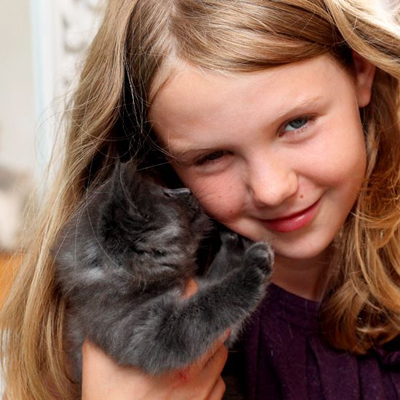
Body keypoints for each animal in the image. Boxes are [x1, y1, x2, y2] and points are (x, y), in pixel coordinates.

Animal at [53, 160, 274, 393]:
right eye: (166, 194)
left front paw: (234, 246)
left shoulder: (222, 335)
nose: (186, 190)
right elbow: (207, 308)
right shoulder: (143, 332)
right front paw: (251, 269)